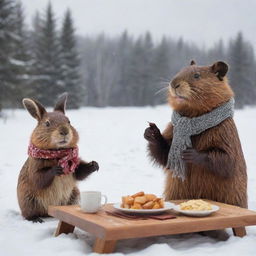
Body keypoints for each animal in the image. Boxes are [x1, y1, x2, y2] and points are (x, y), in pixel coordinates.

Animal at [17, 93, 99, 222]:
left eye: (69, 121)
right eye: (47, 123)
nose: (64, 131)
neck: (58, 153)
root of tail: (48, 213)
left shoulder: (74, 168)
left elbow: (80, 172)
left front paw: (94, 164)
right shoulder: (34, 166)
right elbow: (38, 178)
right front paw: (56, 169)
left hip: (74, 195)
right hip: (28, 200)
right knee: (28, 214)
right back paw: (36, 219)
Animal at [144, 60, 246, 238]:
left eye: (197, 75)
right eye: (180, 70)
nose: (174, 84)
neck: (194, 118)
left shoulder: (226, 132)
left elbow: (227, 160)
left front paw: (189, 153)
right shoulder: (172, 128)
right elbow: (165, 155)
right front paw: (151, 132)